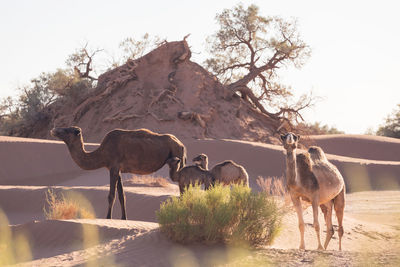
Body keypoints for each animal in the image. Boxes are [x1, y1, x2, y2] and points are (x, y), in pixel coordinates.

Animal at [50, 126, 187, 221]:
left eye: (67, 130)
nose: (53, 130)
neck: (102, 153)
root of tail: (181, 144)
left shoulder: (113, 167)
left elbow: (111, 195)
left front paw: (108, 218)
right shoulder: (119, 170)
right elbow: (122, 196)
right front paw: (124, 219)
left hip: (178, 156)